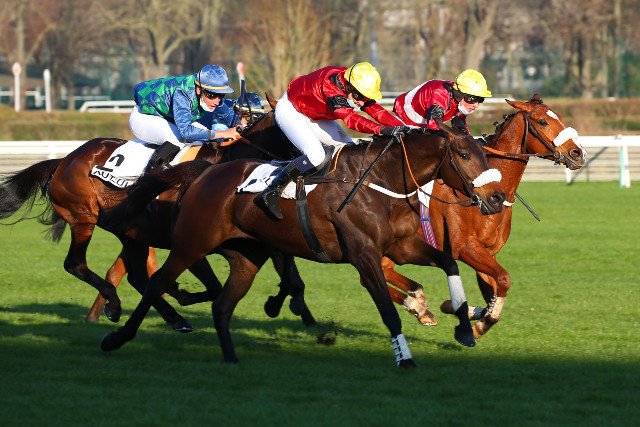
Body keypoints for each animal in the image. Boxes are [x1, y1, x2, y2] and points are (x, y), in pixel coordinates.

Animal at [0, 106, 313, 329]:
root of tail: (64, 160)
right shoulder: (190, 242)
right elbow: (211, 286)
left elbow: (290, 274)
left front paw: (295, 310)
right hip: (83, 217)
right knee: (76, 263)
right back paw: (117, 305)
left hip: (127, 231)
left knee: (136, 276)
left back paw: (168, 316)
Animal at [99, 120, 506, 368]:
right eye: (465, 155)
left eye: (484, 153)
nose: (498, 198)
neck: (380, 181)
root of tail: (205, 171)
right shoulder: (365, 256)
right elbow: (387, 311)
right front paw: (404, 358)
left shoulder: (401, 247)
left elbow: (449, 263)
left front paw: (465, 327)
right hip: (191, 245)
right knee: (156, 283)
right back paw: (117, 338)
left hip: (246, 258)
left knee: (222, 305)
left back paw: (231, 358)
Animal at [380, 94, 586, 337]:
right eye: (543, 121)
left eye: (560, 117)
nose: (578, 153)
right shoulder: (465, 247)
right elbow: (504, 279)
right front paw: (477, 323)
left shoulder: (488, 252)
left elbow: (495, 289)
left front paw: (471, 313)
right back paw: (418, 306)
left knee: (384, 271)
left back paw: (421, 307)